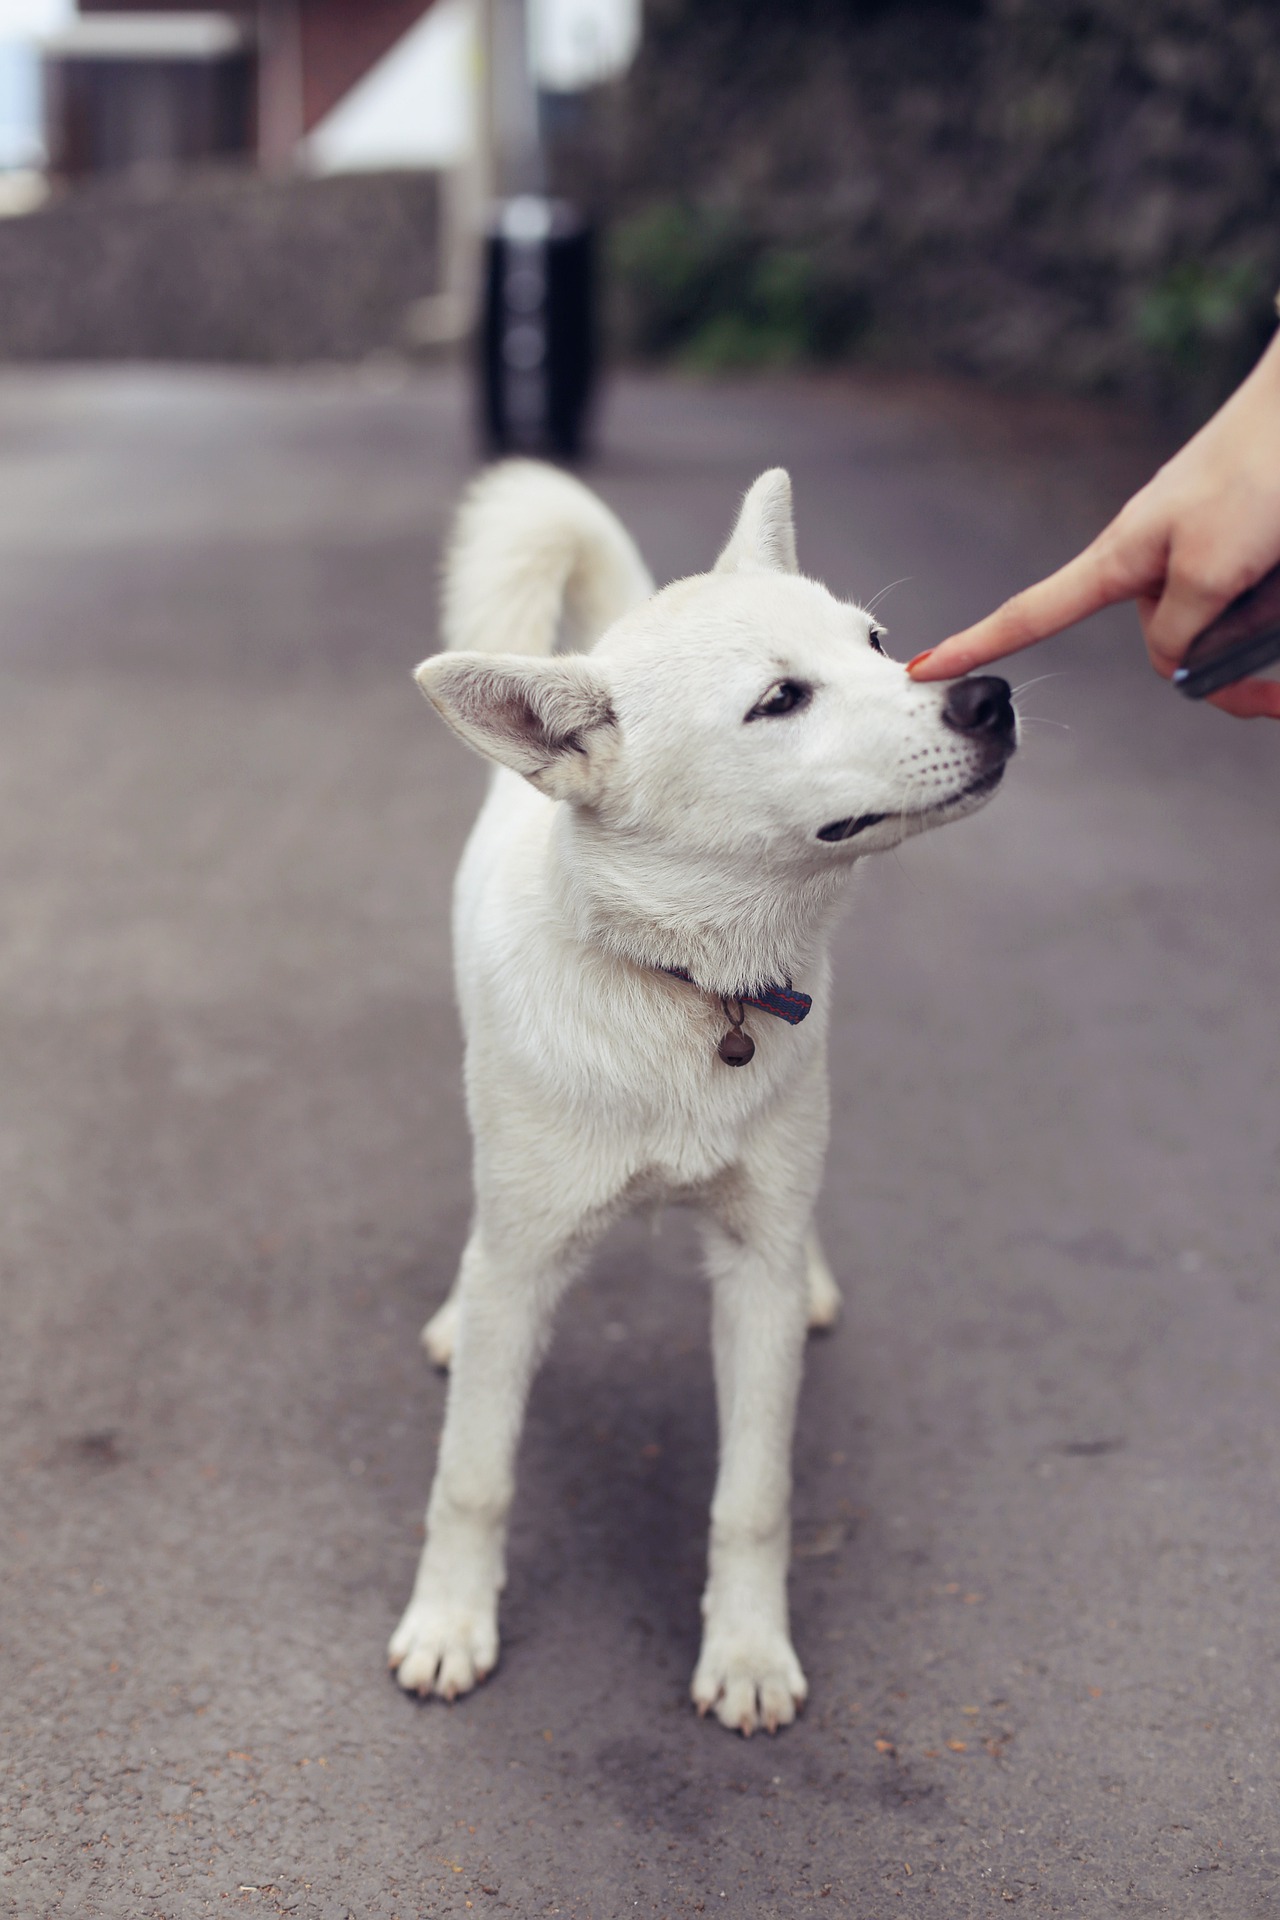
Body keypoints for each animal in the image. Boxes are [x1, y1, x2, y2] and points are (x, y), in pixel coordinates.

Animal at [385, 460, 1013, 1743]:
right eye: (779, 699)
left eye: (878, 645)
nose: (988, 695)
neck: (684, 990)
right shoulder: (526, 1256)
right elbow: (472, 1475)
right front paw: (451, 1623)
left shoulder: (750, 1267)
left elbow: (753, 1496)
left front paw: (747, 1653)